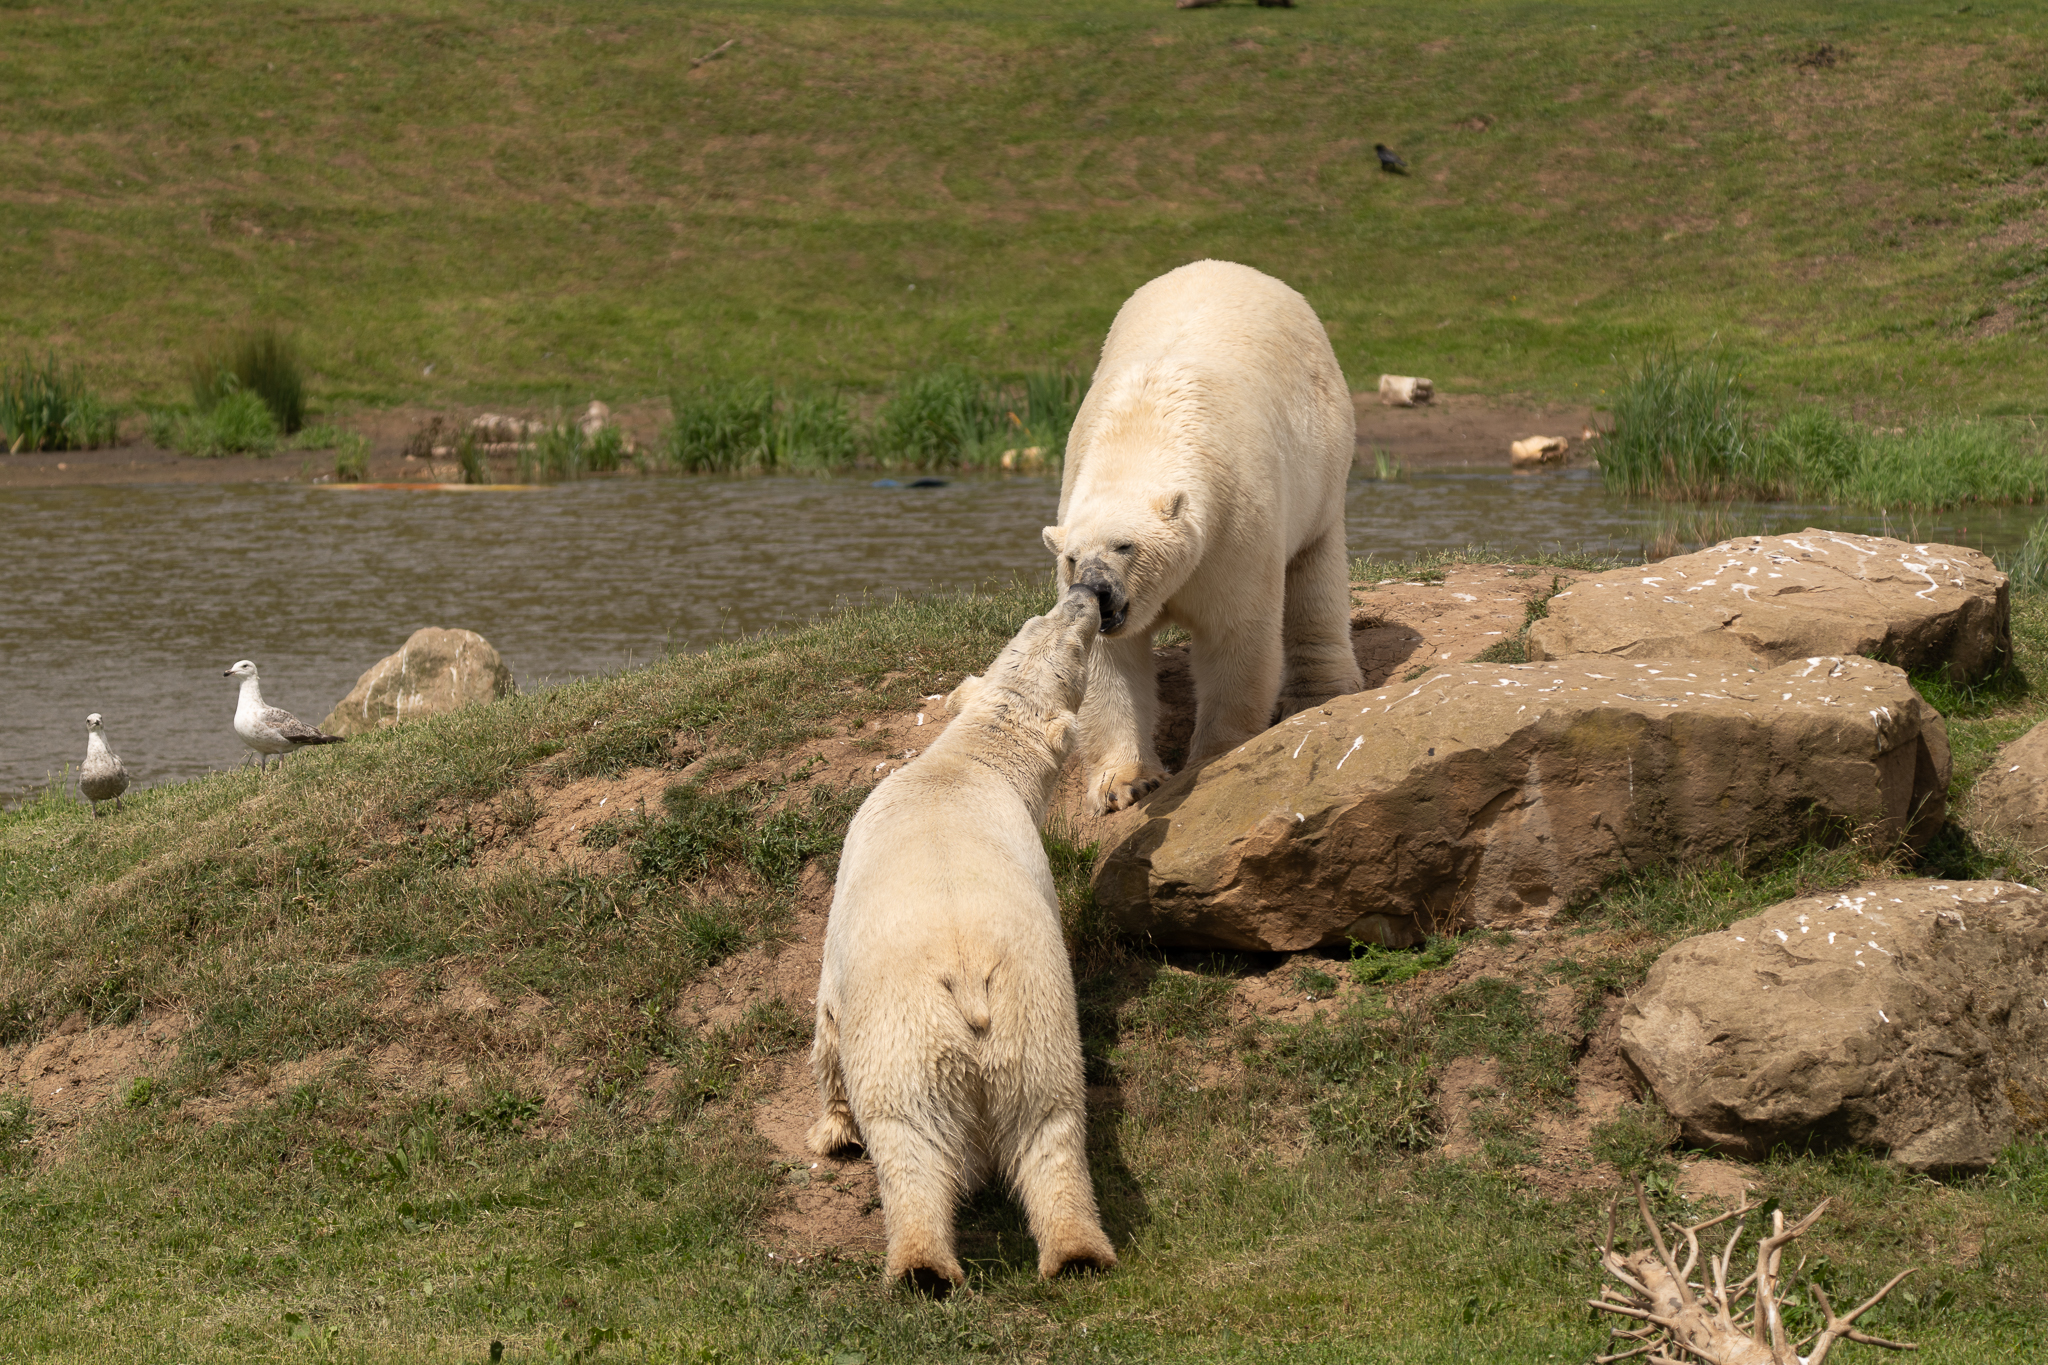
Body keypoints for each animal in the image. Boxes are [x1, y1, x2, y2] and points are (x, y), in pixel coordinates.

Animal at [805, 586, 1119, 1291]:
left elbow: (827, 1024)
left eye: (1075, 642)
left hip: (910, 1034)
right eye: (1042, 622)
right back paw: (1078, 1252)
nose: (1086, 594)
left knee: (909, 1142)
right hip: (1033, 1019)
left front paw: (830, 1131)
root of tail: (968, 980)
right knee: (1052, 1124)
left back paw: (920, 1266)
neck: (963, 765)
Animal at [1043, 259, 1365, 813]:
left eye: (1125, 545)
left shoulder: (1234, 528)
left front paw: (1215, 756)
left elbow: (1237, 634)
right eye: (1071, 559)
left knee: (1315, 569)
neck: (1143, 432)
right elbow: (1108, 662)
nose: (1097, 590)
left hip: (1323, 457)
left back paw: (1322, 691)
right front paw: (1124, 785)